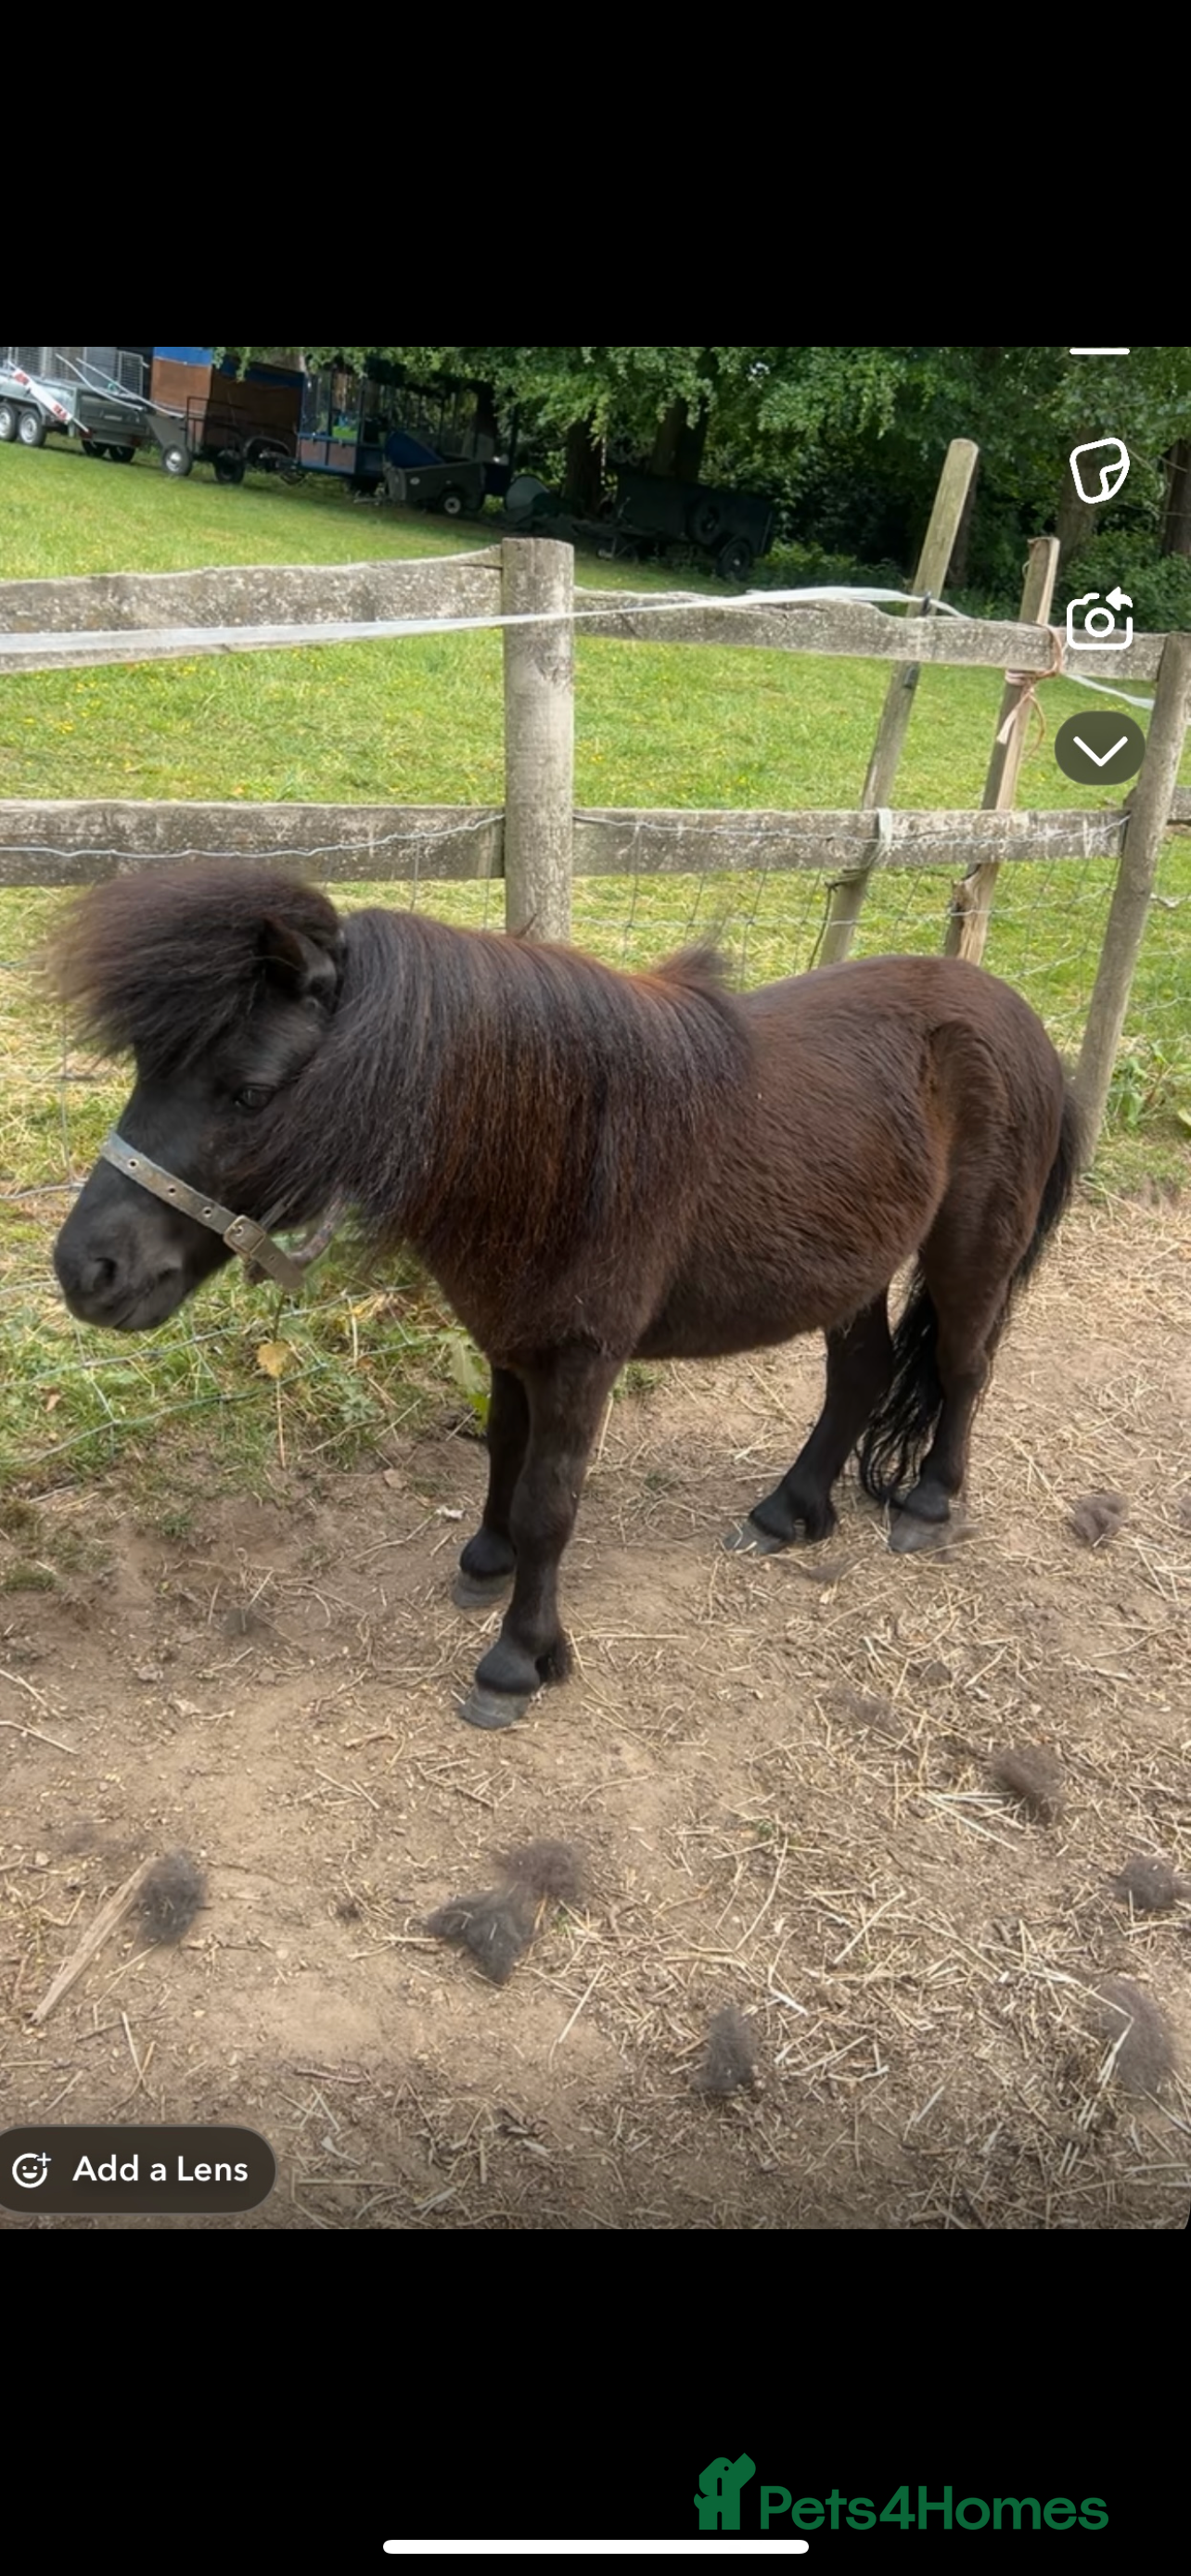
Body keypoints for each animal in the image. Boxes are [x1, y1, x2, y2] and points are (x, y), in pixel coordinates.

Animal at [49, 861, 1082, 1731]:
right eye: (147, 1069)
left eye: (250, 1093)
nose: (87, 1270)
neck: (561, 1144)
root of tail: (1018, 1017)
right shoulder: (512, 1339)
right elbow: (505, 1454)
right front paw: (485, 1563)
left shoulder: (584, 1357)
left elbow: (551, 1503)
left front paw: (518, 1660)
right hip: (853, 1266)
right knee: (863, 1372)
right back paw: (786, 1511)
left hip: (970, 1254)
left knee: (963, 1367)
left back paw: (929, 1507)